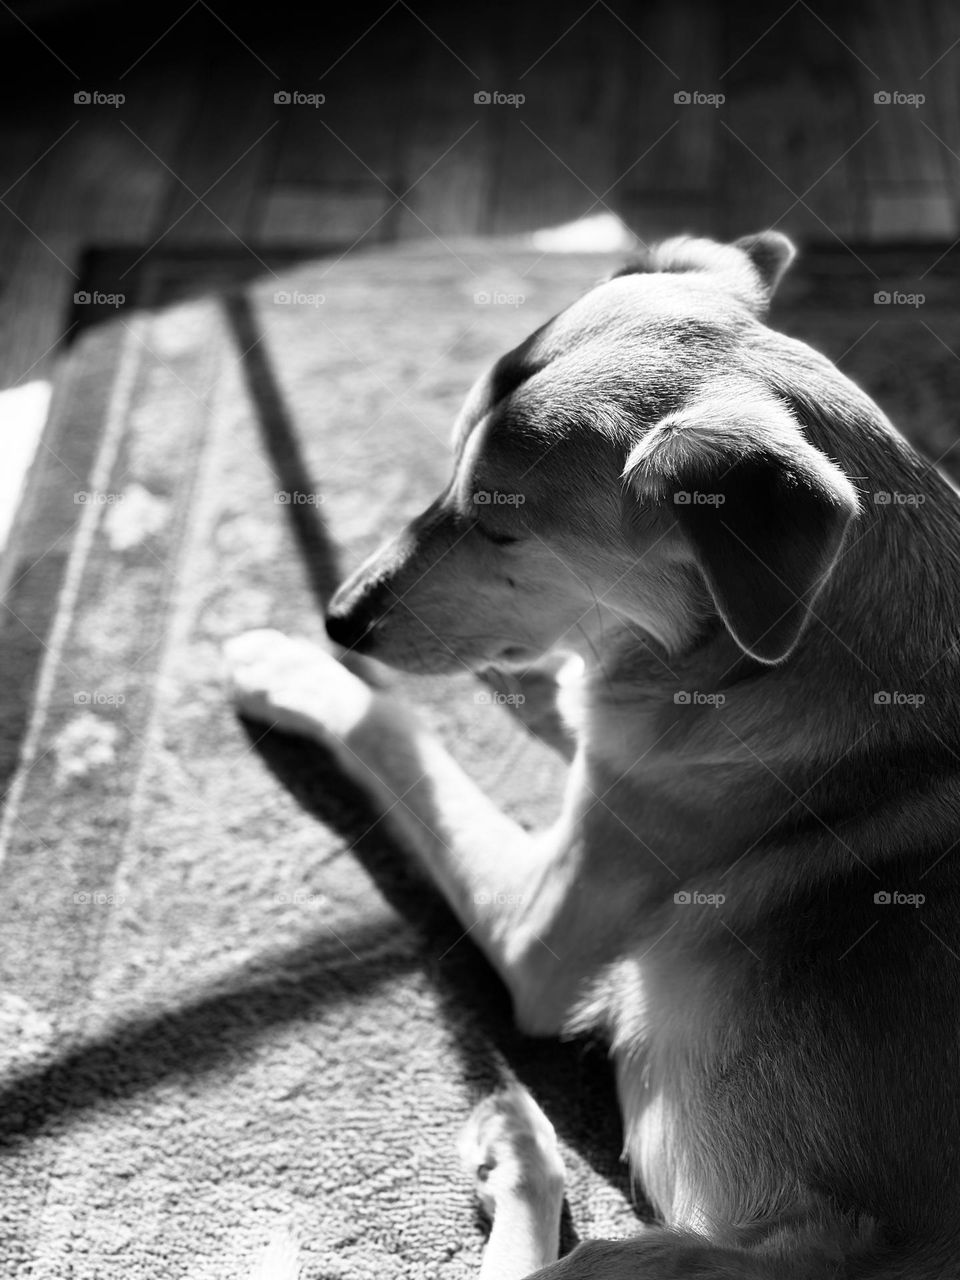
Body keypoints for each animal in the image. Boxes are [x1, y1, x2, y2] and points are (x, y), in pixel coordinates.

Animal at [227, 232, 960, 1280]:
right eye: (445, 473)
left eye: (500, 527)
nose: (340, 617)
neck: (746, 658)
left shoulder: (540, 936)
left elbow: (398, 731)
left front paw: (296, 668)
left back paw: (522, 1157)